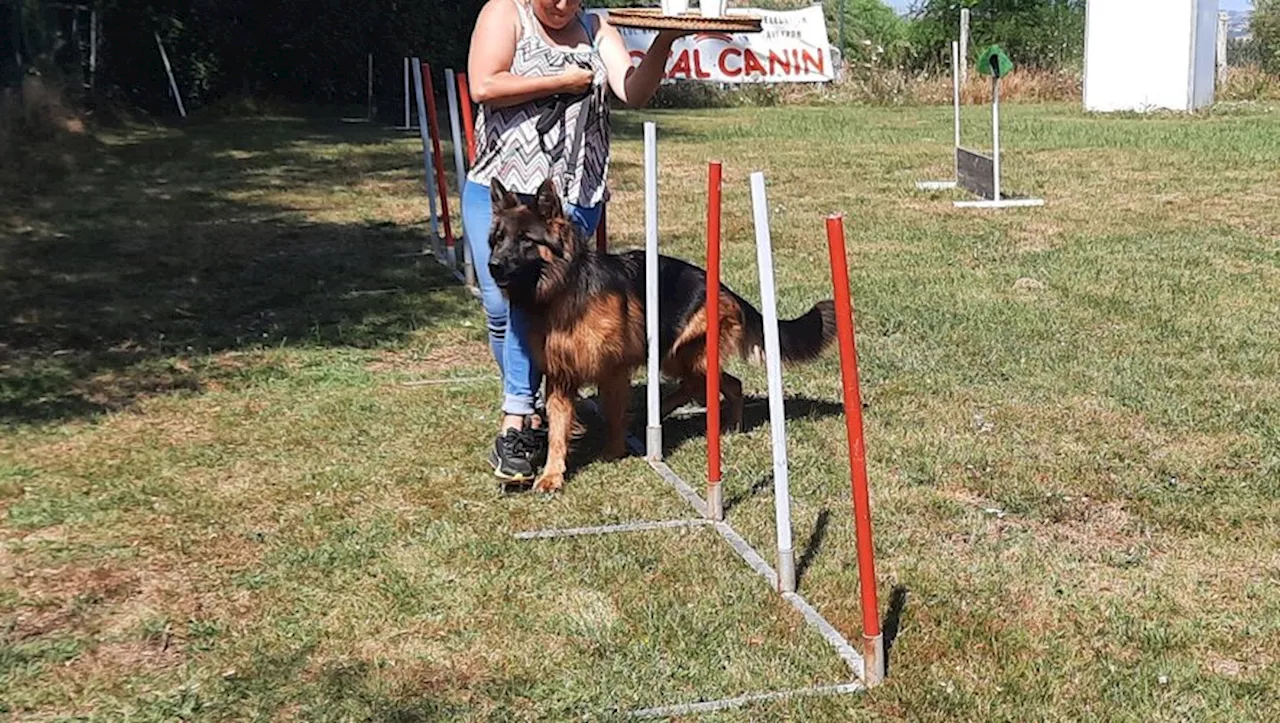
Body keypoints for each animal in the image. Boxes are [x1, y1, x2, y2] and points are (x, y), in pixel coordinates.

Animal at [483, 177, 834, 493]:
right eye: (499, 238)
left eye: (526, 239)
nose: (492, 266)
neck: (565, 290)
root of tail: (722, 287)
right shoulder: (560, 376)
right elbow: (558, 431)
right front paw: (552, 475)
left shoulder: (613, 369)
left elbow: (613, 413)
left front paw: (613, 452)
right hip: (674, 356)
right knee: (700, 385)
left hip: (686, 354)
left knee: (727, 384)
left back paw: (728, 424)